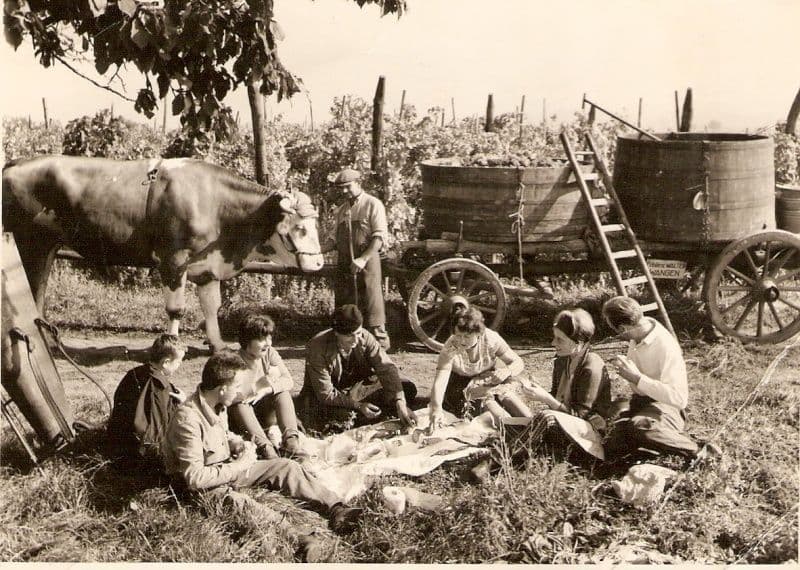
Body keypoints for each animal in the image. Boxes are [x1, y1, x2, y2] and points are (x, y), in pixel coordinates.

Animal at [3, 155, 322, 350]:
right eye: (300, 228)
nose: (318, 264)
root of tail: (18, 163)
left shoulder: (207, 268)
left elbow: (211, 307)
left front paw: (217, 345)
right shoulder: (174, 259)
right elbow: (176, 308)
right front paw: (172, 343)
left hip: (47, 246)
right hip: (31, 243)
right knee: (33, 290)